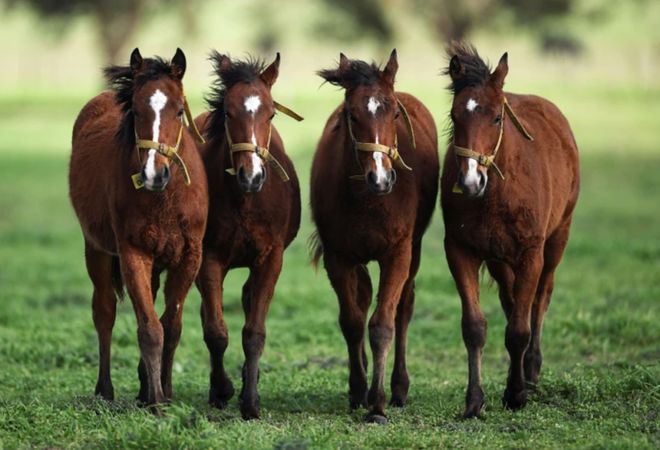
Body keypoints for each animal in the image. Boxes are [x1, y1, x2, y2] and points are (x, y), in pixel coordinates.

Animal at [69, 48, 208, 407]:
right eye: (136, 109)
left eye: (178, 110)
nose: (153, 174)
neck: (165, 199)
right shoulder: (132, 254)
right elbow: (149, 328)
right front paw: (157, 401)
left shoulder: (189, 257)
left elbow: (171, 326)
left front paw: (163, 392)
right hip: (97, 251)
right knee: (104, 311)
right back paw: (105, 390)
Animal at [193, 52, 302, 420]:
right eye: (229, 112)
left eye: (270, 113)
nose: (251, 176)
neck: (245, 199)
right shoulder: (209, 258)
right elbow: (215, 330)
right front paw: (221, 390)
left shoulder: (270, 257)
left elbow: (254, 331)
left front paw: (250, 401)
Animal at [310, 50, 439, 424]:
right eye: (352, 115)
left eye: (394, 112)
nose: (380, 178)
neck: (369, 200)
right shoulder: (338, 257)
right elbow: (352, 321)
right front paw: (358, 389)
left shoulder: (397, 254)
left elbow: (382, 324)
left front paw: (378, 404)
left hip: (414, 250)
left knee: (403, 308)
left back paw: (398, 388)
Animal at [440, 42, 580, 418]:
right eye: (455, 117)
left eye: (496, 118)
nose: (470, 181)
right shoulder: (460, 251)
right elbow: (475, 327)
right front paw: (475, 400)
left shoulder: (531, 254)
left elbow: (519, 328)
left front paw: (516, 393)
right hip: (499, 259)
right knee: (511, 299)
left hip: (557, 240)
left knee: (539, 300)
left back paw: (530, 372)